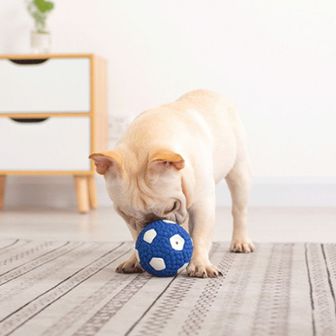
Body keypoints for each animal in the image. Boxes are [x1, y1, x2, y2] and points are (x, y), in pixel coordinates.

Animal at [89, 89, 255, 278]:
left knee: (239, 210)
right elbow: (135, 237)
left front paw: (200, 264)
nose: (151, 223)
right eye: (128, 215)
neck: (145, 137)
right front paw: (134, 259)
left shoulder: (202, 204)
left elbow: (201, 234)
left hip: (239, 172)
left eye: (171, 207)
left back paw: (240, 241)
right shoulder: (130, 222)